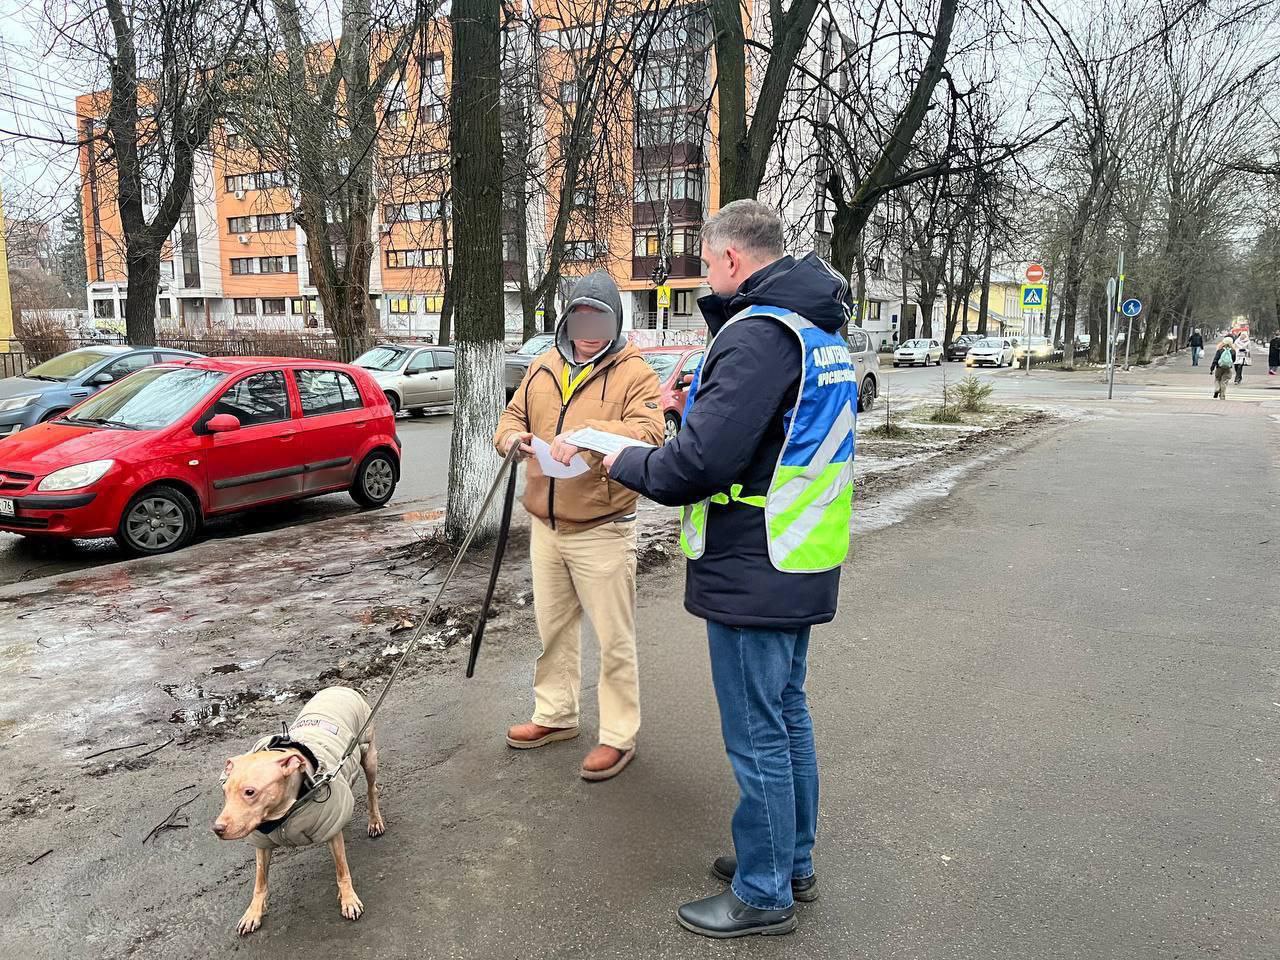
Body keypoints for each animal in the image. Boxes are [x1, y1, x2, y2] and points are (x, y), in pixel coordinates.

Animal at [212, 686, 384, 936]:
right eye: (225, 791)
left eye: (250, 792)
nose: (217, 829)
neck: (283, 815)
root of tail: (340, 687)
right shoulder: (262, 843)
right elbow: (260, 881)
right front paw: (253, 912)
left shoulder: (331, 831)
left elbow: (342, 870)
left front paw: (348, 899)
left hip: (368, 752)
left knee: (372, 790)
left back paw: (375, 820)